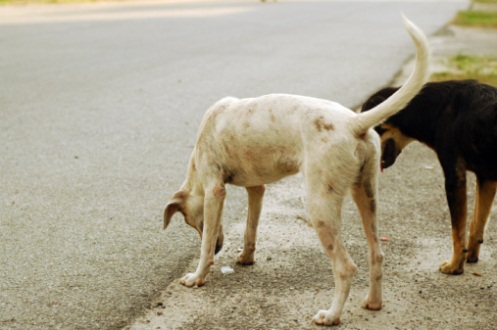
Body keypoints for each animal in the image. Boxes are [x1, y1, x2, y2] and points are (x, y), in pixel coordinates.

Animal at [165, 14, 428, 324]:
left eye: (195, 222)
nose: (221, 248)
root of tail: (354, 122)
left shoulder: (214, 192)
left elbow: (204, 246)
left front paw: (198, 276)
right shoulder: (257, 189)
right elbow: (250, 228)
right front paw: (245, 258)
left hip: (320, 206)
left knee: (346, 267)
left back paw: (332, 315)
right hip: (366, 195)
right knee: (377, 254)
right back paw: (374, 302)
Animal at [360, 80, 496, 276]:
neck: (435, 109)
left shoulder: (455, 177)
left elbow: (457, 230)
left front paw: (455, 266)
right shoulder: (486, 178)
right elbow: (476, 223)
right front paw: (470, 256)